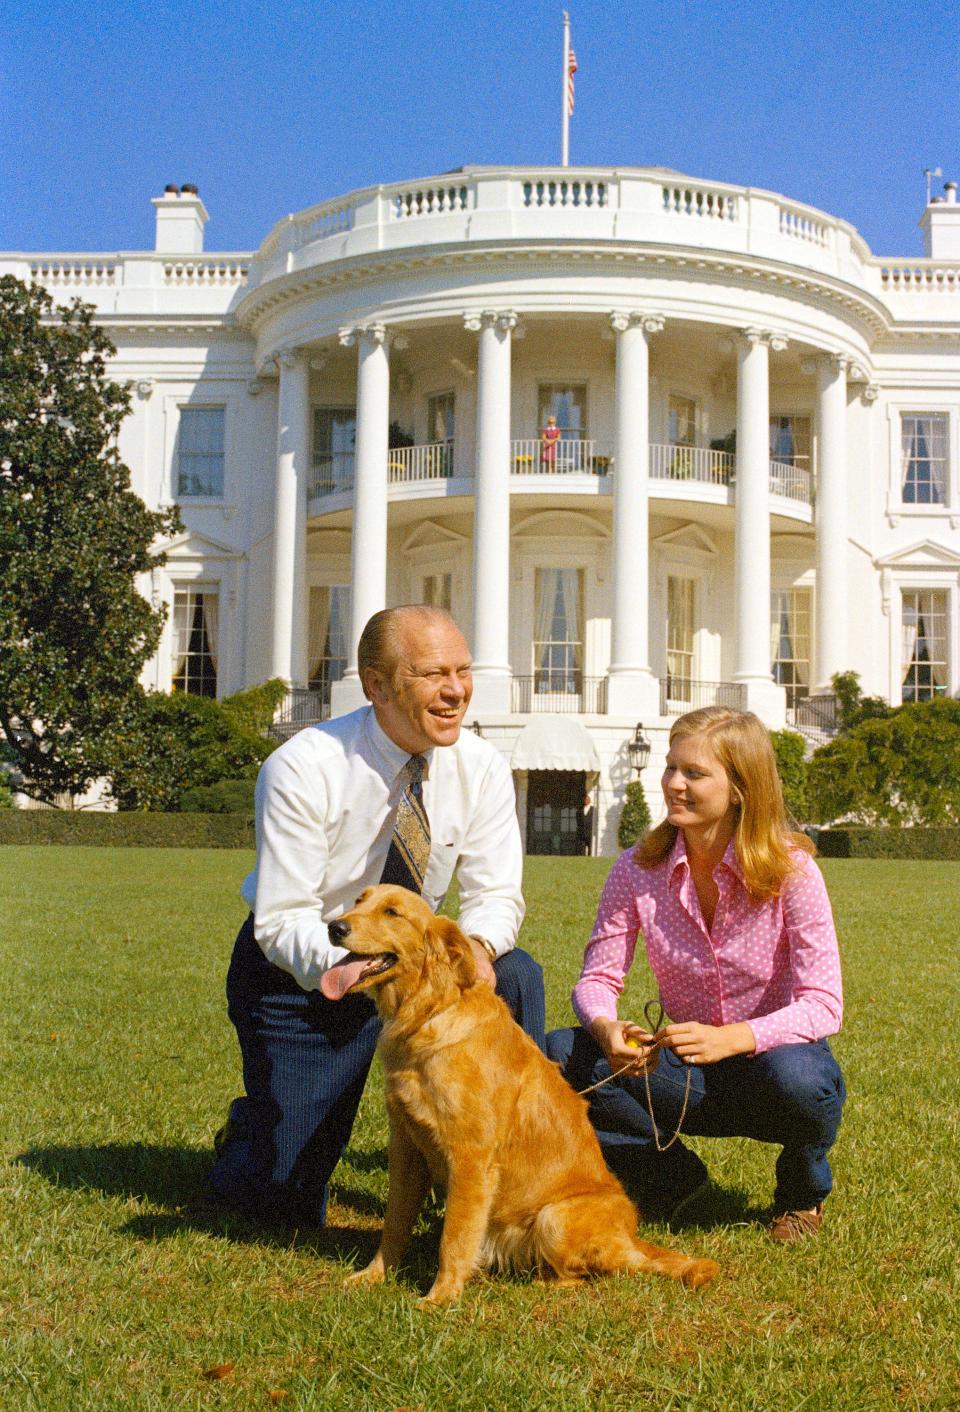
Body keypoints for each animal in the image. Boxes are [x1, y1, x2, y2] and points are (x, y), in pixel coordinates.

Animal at [321, 886, 720, 1304]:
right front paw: (374, 1275)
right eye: (359, 900)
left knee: (585, 1275)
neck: (427, 1015)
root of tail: (631, 1239)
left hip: (553, 1218)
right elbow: (394, 1223)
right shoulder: (406, 1148)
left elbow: (454, 1237)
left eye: (392, 912)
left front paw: (440, 1297)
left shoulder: (471, 1158)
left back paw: (542, 1281)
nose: (334, 927)